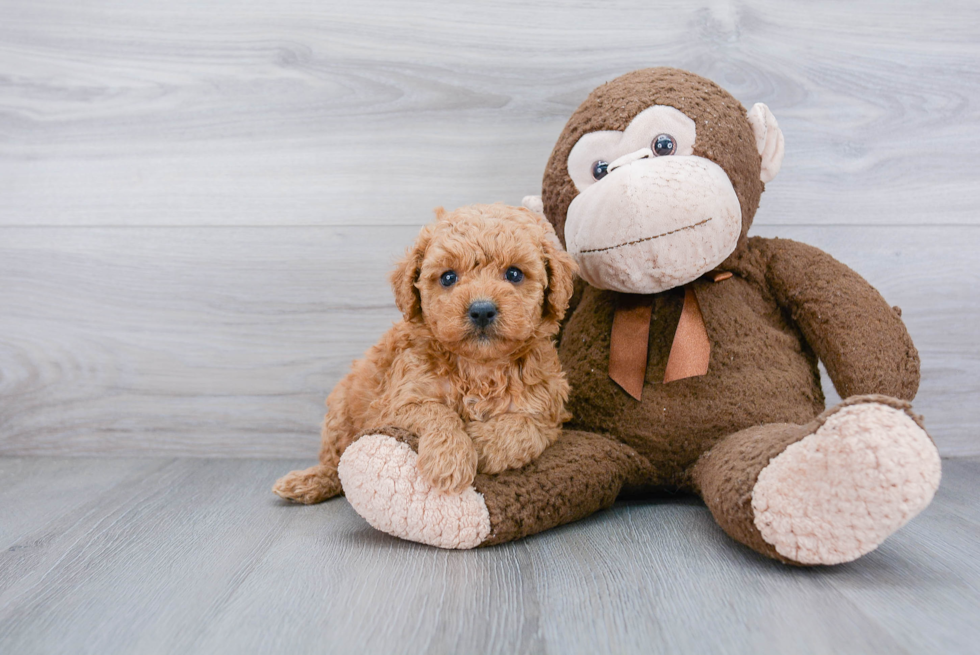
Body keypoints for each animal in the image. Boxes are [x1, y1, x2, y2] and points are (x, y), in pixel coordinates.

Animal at [272, 204, 580, 502]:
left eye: (514, 274)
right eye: (448, 277)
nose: (481, 310)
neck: (478, 367)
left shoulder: (546, 412)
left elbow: (521, 429)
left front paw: (479, 442)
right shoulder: (395, 403)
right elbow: (436, 411)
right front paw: (450, 459)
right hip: (339, 411)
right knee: (335, 462)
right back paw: (306, 482)